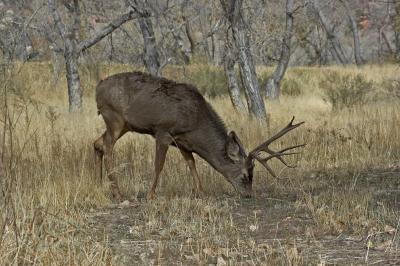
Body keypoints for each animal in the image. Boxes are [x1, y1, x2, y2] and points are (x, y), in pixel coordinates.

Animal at [94, 71, 304, 201]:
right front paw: (150, 195)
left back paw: (100, 184)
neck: (195, 123)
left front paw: (200, 191)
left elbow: (191, 163)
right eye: (246, 175)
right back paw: (118, 193)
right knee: (107, 147)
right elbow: (159, 165)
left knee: (97, 143)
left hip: (122, 124)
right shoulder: (163, 131)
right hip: (114, 117)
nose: (248, 194)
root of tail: (98, 87)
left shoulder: (182, 141)